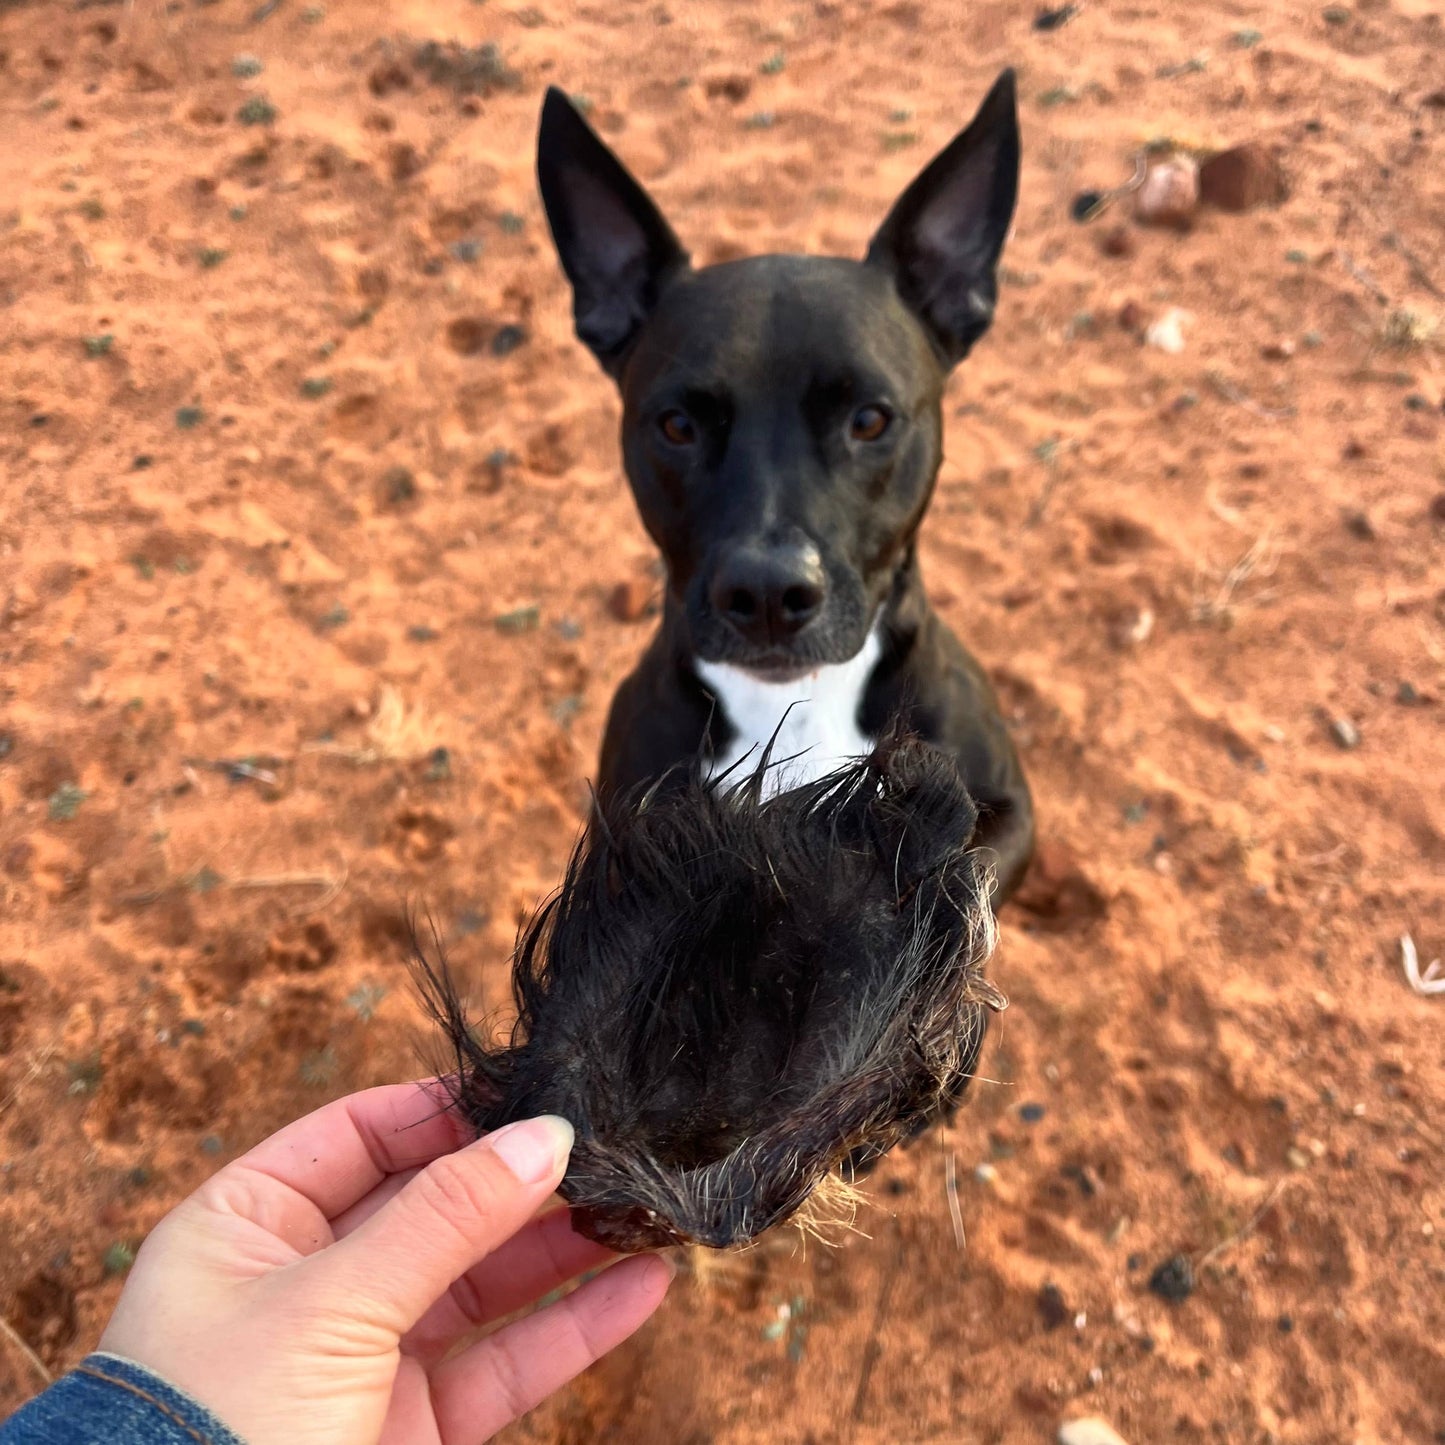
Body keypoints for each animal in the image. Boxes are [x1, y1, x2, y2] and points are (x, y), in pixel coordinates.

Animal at [537, 73, 1034, 901]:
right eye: (677, 425)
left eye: (869, 419)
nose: (767, 593)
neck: (797, 704)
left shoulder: (1006, 810)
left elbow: (964, 880)